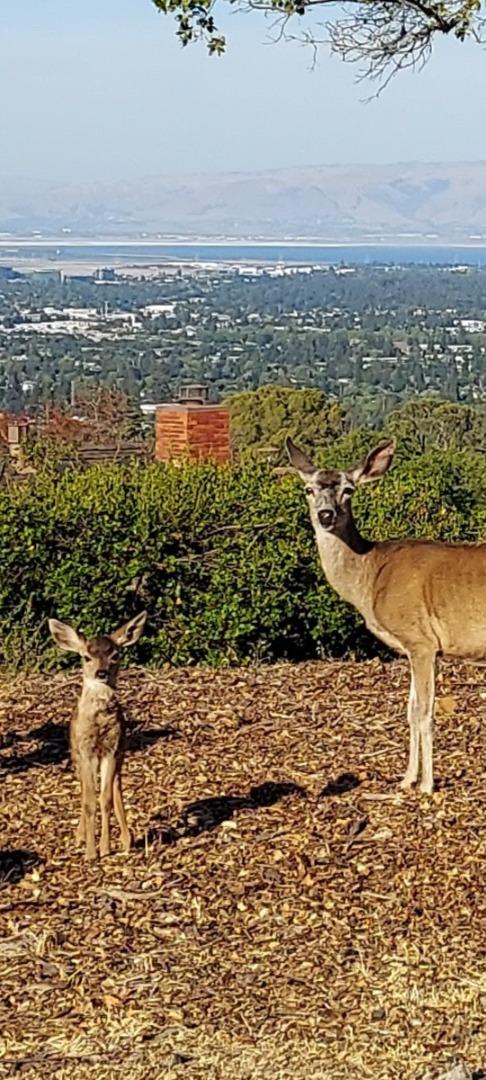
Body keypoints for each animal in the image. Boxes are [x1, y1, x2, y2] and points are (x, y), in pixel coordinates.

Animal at [49, 613, 149, 855]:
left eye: (115, 655)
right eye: (86, 657)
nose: (101, 672)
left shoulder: (112, 749)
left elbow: (105, 799)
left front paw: (104, 848)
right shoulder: (85, 751)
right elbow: (89, 801)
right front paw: (90, 852)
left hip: (121, 753)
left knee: (116, 787)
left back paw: (126, 839)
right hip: (76, 755)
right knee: (85, 791)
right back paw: (80, 837)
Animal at [287, 434, 483, 799]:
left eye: (349, 490)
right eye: (308, 488)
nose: (325, 514)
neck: (371, 576)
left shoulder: (421, 640)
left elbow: (425, 713)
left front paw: (426, 785)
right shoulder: (415, 649)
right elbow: (409, 711)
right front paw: (406, 779)